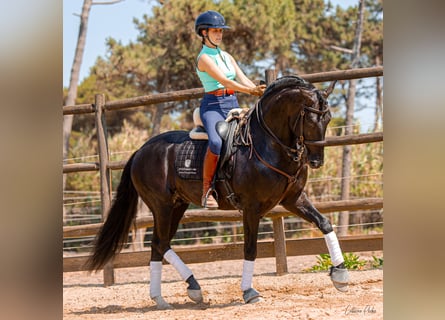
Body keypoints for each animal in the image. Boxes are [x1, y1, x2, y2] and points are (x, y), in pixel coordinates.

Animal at [86, 76, 348, 308]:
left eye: (329, 119)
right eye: (311, 119)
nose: (316, 161)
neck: (267, 144)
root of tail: (141, 150)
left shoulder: (293, 199)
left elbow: (325, 223)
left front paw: (340, 274)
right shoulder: (251, 208)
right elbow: (250, 248)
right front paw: (249, 292)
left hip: (177, 206)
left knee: (159, 246)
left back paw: (167, 297)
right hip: (161, 206)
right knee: (160, 243)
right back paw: (186, 289)